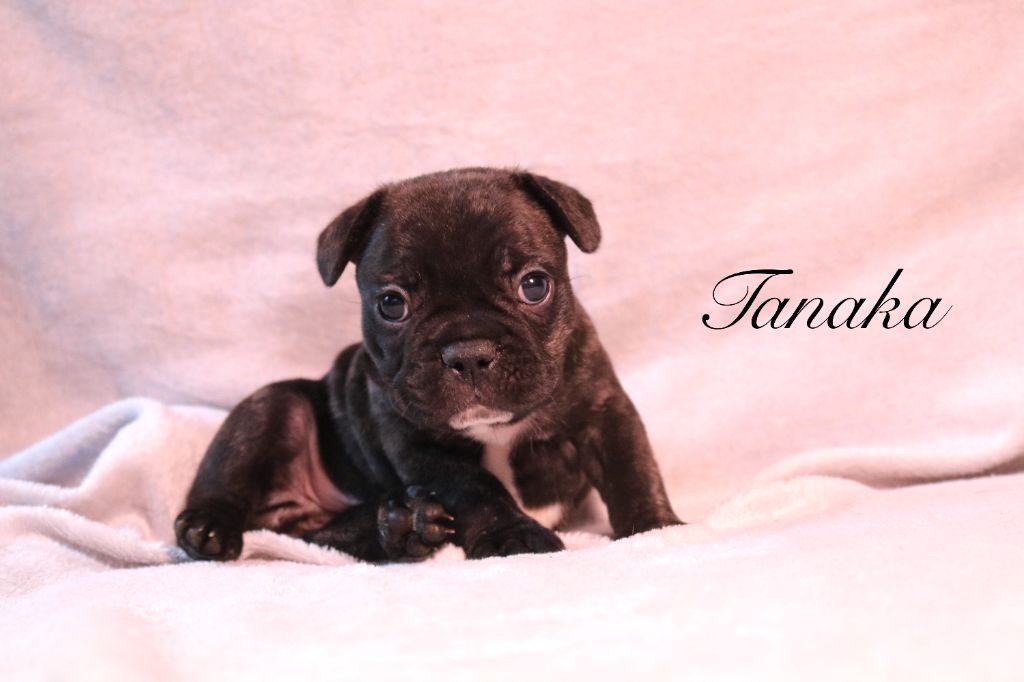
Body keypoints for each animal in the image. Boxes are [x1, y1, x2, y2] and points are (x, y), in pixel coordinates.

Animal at [175, 167, 682, 562]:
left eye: (534, 285)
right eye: (392, 304)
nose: (468, 354)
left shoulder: (604, 410)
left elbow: (631, 468)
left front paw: (657, 528)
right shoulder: (416, 443)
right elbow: (475, 488)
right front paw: (513, 536)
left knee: (320, 535)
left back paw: (402, 524)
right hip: (274, 406)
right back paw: (209, 527)